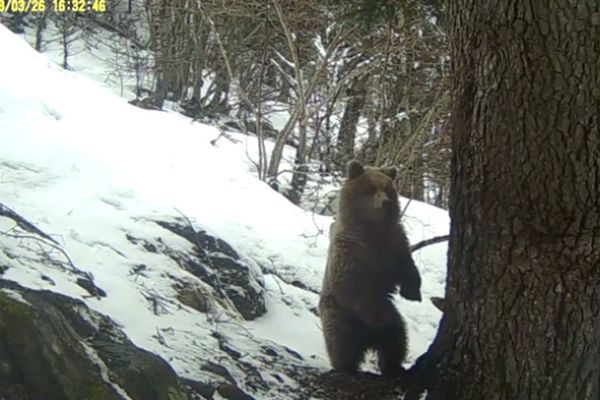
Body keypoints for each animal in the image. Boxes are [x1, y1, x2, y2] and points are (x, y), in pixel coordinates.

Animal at [318, 159, 422, 376]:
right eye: (371, 189)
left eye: (387, 190)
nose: (385, 202)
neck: (372, 229)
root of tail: (368, 342)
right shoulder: (350, 251)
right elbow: (353, 284)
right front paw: (379, 315)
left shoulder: (394, 243)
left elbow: (407, 267)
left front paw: (412, 293)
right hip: (338, 314)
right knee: (341, 341)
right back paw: (345, 367)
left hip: (392, 330)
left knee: (397, 339)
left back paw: (394, 367)